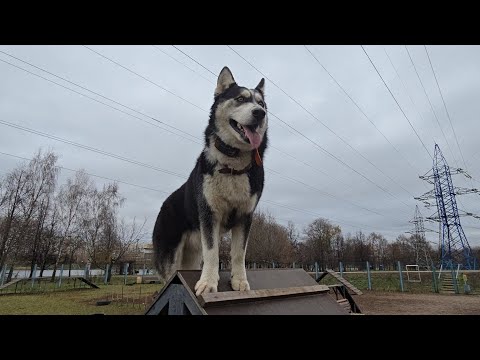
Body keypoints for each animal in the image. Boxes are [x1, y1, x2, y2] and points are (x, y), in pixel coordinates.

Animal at [153, 67, 268, 296]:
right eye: (240, 98)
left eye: (261, 103)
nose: (260, 113)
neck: (232, 167)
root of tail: (164, 204)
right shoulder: (209, 215)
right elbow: (213, 252)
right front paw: (208, 283)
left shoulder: (245, 216)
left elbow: (239, 254)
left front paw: (239, 281)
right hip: (170, 258)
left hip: (191, 256)